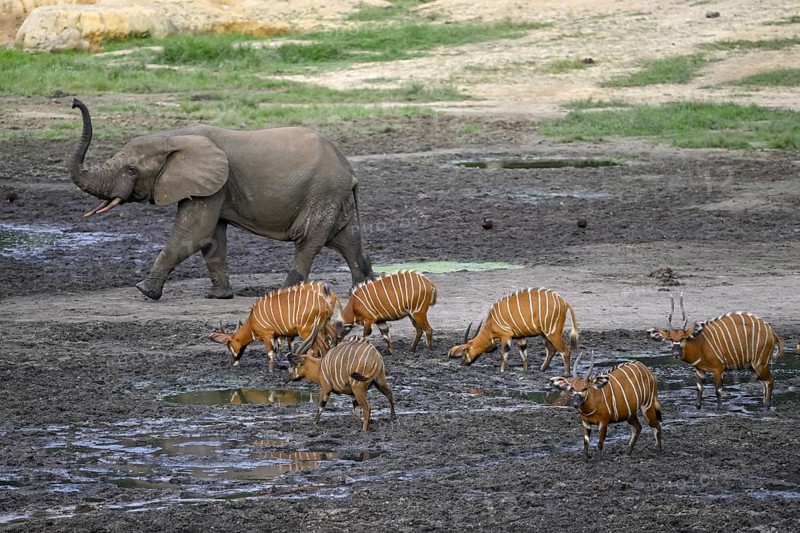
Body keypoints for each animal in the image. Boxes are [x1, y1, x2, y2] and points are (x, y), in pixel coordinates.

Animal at [68, 98, 373, 300]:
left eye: (131, 170)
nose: (74, 103)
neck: (172, 137)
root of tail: (350, 170)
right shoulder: (214, 186)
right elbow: (211, 238)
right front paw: (219, 296)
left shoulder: (214, 184)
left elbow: (193, 234)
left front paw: (145, 291)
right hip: (332, 195)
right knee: (347, 240)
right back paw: (363, 291)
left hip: (323, 192)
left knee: (309, 241)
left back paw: (284, 292)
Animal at [448, 288, 578, 373]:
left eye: (465, 351)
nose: (462, 363)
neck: (491, 323)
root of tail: (565, 302)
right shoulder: (520, 337)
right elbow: (524, 355)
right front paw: (525, 371)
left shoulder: (506, 335)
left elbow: (504, 353)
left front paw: (501, 371)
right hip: (544, 334)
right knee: (551, 350)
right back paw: (541, 370)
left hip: (552, 332)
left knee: (565, 351)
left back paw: (566, 374)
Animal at [648, 293, 784, 408]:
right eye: (670, 339)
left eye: (683, 338)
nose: (676, 354)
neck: (699, 344)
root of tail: (772, 332)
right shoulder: (699, 370)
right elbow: (699, 391)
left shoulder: (719, 369)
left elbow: (718, 391)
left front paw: (719, 409)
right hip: (752, 365)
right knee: (764, 382)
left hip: (760, 363)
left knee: (770, 380)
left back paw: (767, 407)